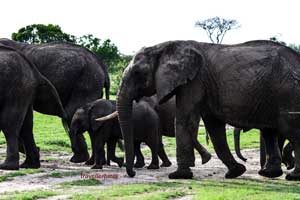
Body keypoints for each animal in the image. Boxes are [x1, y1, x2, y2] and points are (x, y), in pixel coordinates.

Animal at [116, 39, 300, 180]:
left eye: (138, 73)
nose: (132, 173)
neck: (163, 46)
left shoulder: (194, 81)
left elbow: (185, 120)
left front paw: (178, 176)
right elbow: (214, 126)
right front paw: (235, 172)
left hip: (288, 92)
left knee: (289, 129)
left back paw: (292, 176)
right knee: (269, 131)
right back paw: (269, 174)